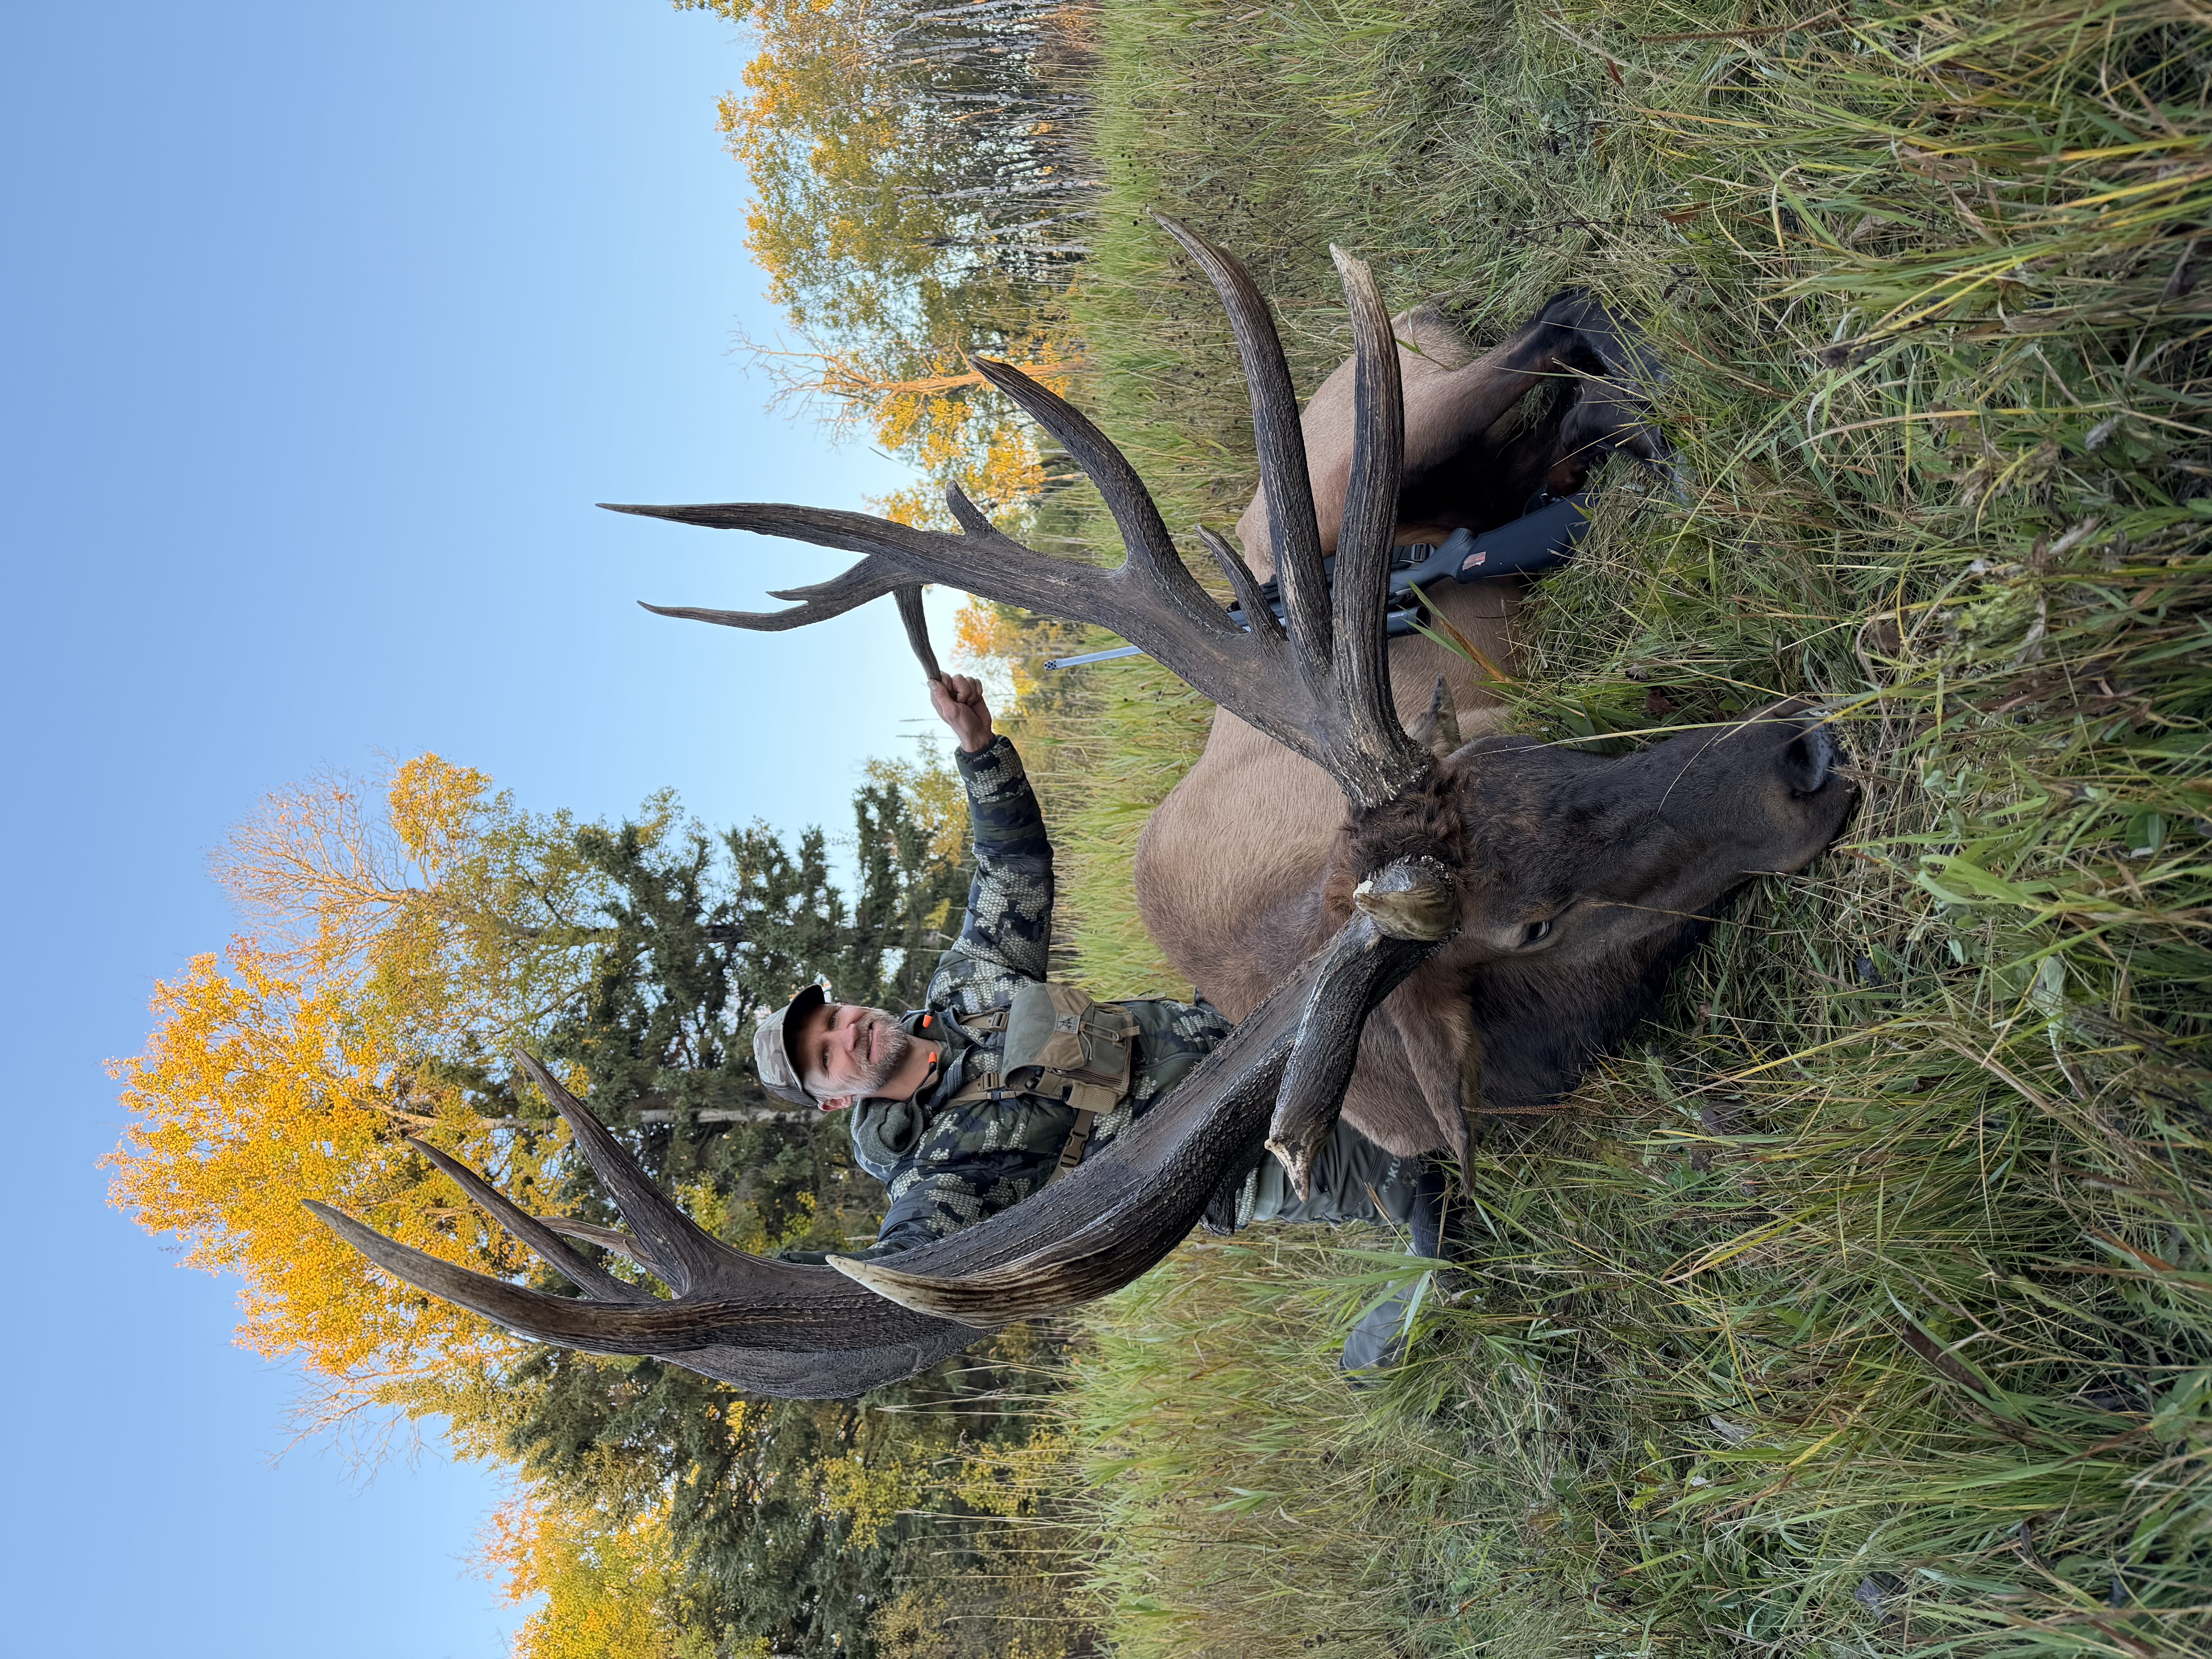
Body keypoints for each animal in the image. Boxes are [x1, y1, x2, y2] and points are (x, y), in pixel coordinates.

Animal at [307, 218, 1856, 1400]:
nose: (1806, 752)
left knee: (1552, 316)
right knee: (1562, 380)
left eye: (1527, 754)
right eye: (1524, 925)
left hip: (1406, 412)